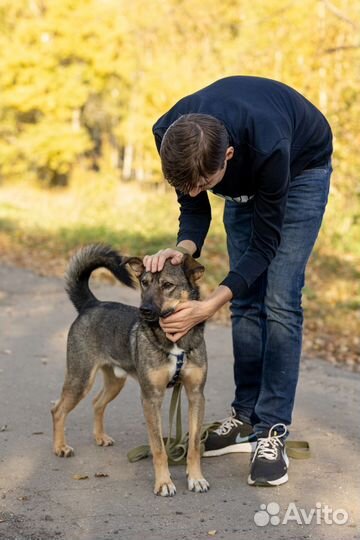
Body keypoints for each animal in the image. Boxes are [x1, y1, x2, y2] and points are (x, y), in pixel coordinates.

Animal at [50, 243, 208, 496]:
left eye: (167, 285)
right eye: (144, 282)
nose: (144, 310)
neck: (174, 339)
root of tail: (91, 304)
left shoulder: (196, 395)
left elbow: (193, 445)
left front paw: (195, 478)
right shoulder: (151, 398)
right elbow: (159, 449)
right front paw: (164, 482)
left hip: (115, 381)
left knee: (97, 403)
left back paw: (100, 437)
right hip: (80, 378)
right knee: (57, 410)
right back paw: (60, 447)